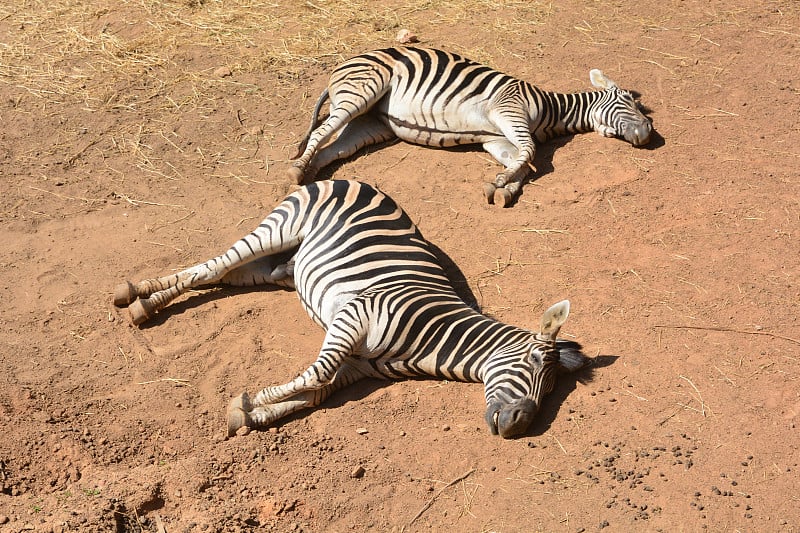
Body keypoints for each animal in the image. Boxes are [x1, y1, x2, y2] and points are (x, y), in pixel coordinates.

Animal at [114, 179, 588, 436]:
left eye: (552, 389)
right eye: (532, 368)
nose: (518, 426)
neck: (434, 334)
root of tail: (362, 181)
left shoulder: (356, 369)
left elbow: (313, 394)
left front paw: (252, 413)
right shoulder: (353, 316)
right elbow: (315, 375)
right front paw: (248, 399)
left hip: (279, 266)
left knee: (223, 275)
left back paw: (143, 300)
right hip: (280, 229)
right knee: (211, 266)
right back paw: (137, 297)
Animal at [290, 46, 652, 207]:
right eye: (628, 101)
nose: (649, 134)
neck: (551, 110)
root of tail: (348, 61)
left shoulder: (495, 138)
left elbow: (523, 162)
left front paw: (504, 188)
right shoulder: (509, 110)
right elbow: (531, 154)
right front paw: (503, 182)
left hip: (372, 124)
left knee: (331, 150)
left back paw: (309, 173)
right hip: (364, 90)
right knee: (321, 133)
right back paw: (295, 171)